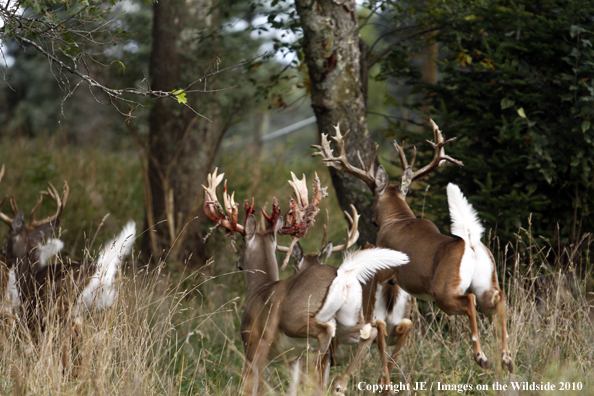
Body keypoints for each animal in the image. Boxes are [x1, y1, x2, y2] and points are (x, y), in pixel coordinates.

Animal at [202, 170, 408, 396]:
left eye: (241, 244)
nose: (238, 263)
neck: (259, 289)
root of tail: (342, 276)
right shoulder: (293, 358)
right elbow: (290, 389)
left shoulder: (253, 343)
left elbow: (252, 388)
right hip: (348, 319)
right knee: (369, 331)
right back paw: (340, 384)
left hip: (294, 317)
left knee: (326, 335)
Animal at [312, 120, 512, 384]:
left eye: (374, 197)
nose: (373, 219)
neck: (399, 219)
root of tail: (469, 244)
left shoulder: (385, 272)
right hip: (486, 283)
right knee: (499, 299)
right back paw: (506, 359)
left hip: (444, 291)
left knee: (469, 300)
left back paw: (482, 357)